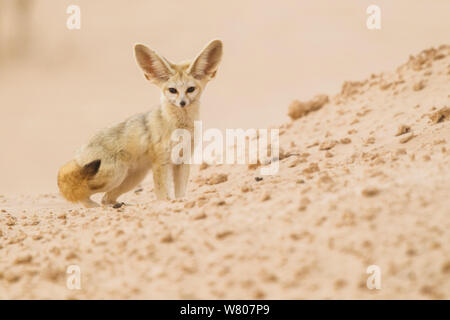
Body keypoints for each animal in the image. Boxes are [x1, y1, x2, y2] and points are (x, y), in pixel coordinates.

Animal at [58, 40, 223, 208]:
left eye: (190, 89)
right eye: (172, 90)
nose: (182, 103)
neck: (179, 127)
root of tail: (78, 154)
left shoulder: (182, 160)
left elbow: (181, 191)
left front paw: (180, 201)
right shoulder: (161, 161)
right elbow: (162, 193)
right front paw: (165, 203)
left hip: (132, 179)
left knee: (106, 198)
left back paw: (120, 205)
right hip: (115, 175)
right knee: (79, 191)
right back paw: (95, 207)